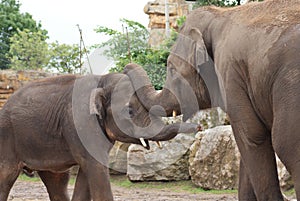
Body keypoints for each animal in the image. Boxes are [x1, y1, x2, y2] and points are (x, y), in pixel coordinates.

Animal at [0, 72, 202, 201]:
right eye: (129, 111)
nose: (199, 126)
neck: (102, 81)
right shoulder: (81, 124)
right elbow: (95, 168)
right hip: (7, 139)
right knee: (5, 177)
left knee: (57, 182)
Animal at [123, 0, 300, 200]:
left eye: (171, 68)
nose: (126, 66)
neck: (220, 15)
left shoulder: (231, 74)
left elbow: (252, 136)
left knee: (285, 143)